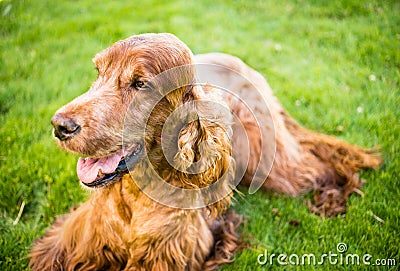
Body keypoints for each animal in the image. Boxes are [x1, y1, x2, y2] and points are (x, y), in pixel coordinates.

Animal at [28, 33, 382, 270]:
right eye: (98, 73)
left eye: (140, 84)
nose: (60, 125)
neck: (135, 196)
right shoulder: (69, 242)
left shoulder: (166, 256)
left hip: (269, 161)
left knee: (315, 167)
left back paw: (330, 199)